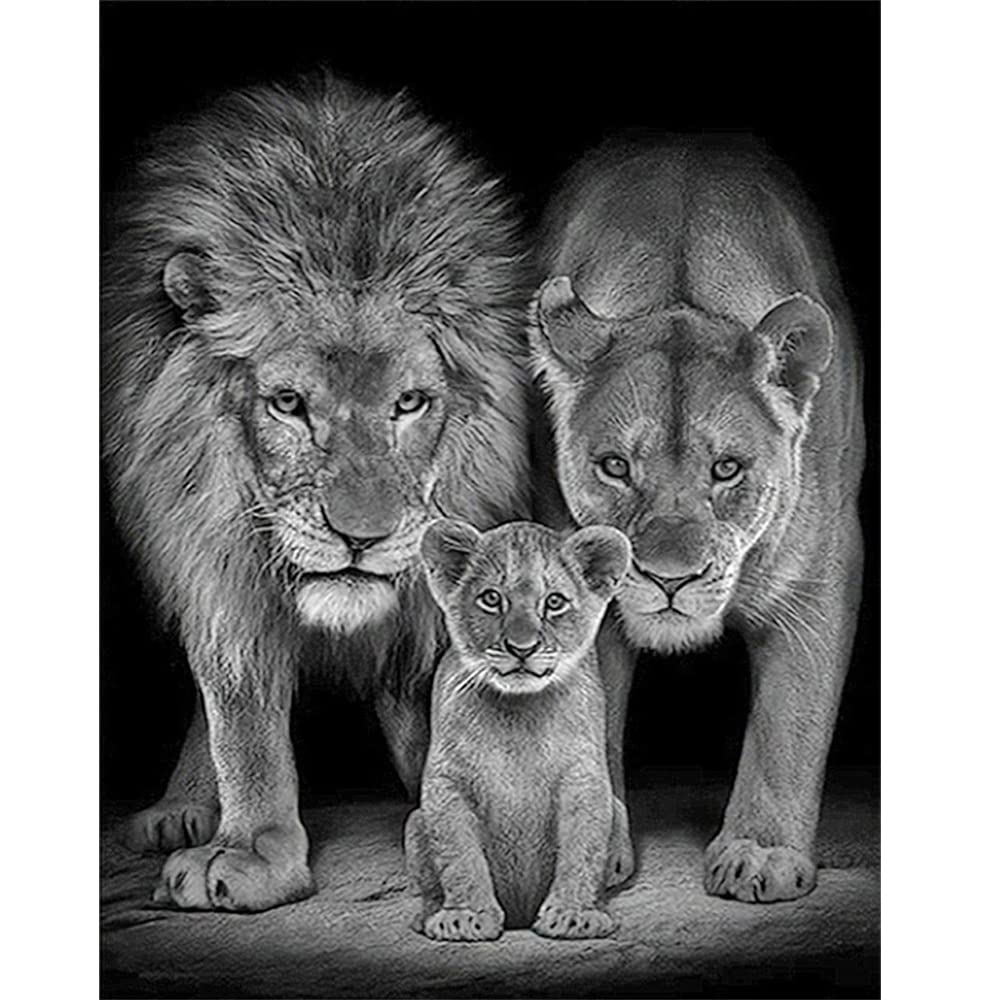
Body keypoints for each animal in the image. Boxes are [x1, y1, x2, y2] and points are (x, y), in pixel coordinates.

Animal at [101, 75, 531, 912]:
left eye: (410, 403)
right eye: (289, 403)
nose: (361, 537)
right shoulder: (214, 556)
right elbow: (240, 712)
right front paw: (249, 851)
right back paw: (182, 809)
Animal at [406, 519, 631, 941]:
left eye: (554, 602)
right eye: (491, 598)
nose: (521, 647)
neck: (519, 710)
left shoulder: (584, 777)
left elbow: (583, 849)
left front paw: (573, 915)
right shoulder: (447, 782)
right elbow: (458, 856)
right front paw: (465, 917)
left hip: (620, 811)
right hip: (414, 822)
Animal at [529, 135, 865, 903]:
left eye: (728, 469)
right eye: (615, 466)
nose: (669, 579)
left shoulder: (821, 577)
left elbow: (789, 723)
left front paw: (760, 855)